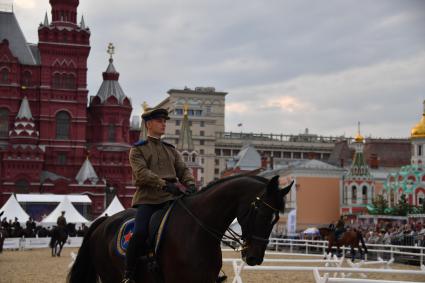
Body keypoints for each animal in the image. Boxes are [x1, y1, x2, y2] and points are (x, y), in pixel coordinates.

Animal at [67, 176, 292, 282]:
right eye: (260, 212)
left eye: (276, 219)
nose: (254, 257)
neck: (198, 230)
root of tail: (104, 221)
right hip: (110, 277)